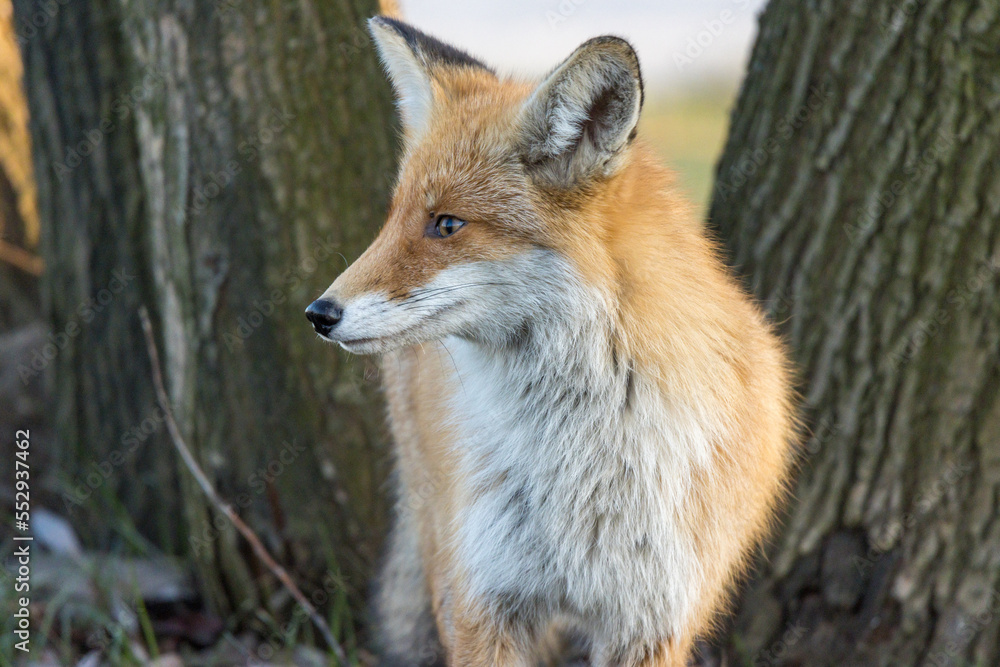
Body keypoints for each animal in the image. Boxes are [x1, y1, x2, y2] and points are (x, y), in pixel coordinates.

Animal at [304, 15, 796, 667]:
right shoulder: (482, 601)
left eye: (447, 224)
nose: (318, 313)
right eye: (393, 219)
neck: (581, 461)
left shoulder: (651, 621)